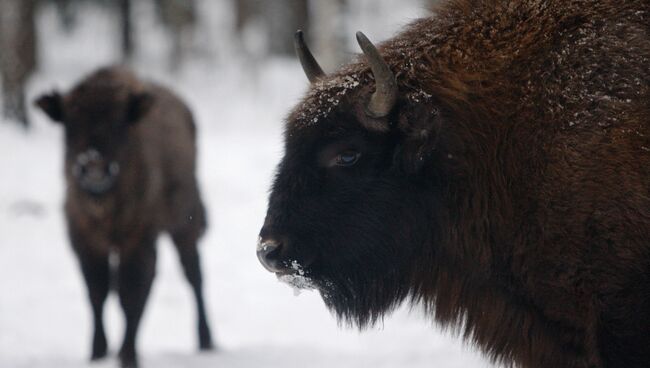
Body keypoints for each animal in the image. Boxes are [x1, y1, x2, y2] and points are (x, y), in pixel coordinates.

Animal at [35, 67, 214, 368]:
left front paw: (128, 355)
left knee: (194, 276)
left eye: (119, 122)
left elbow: (131, 293)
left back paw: (206, 341)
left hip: (183, 225)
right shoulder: (85, 242)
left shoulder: (138, 241)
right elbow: (97, 292)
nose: (94, 167)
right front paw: (97, 352)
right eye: (70, 123)